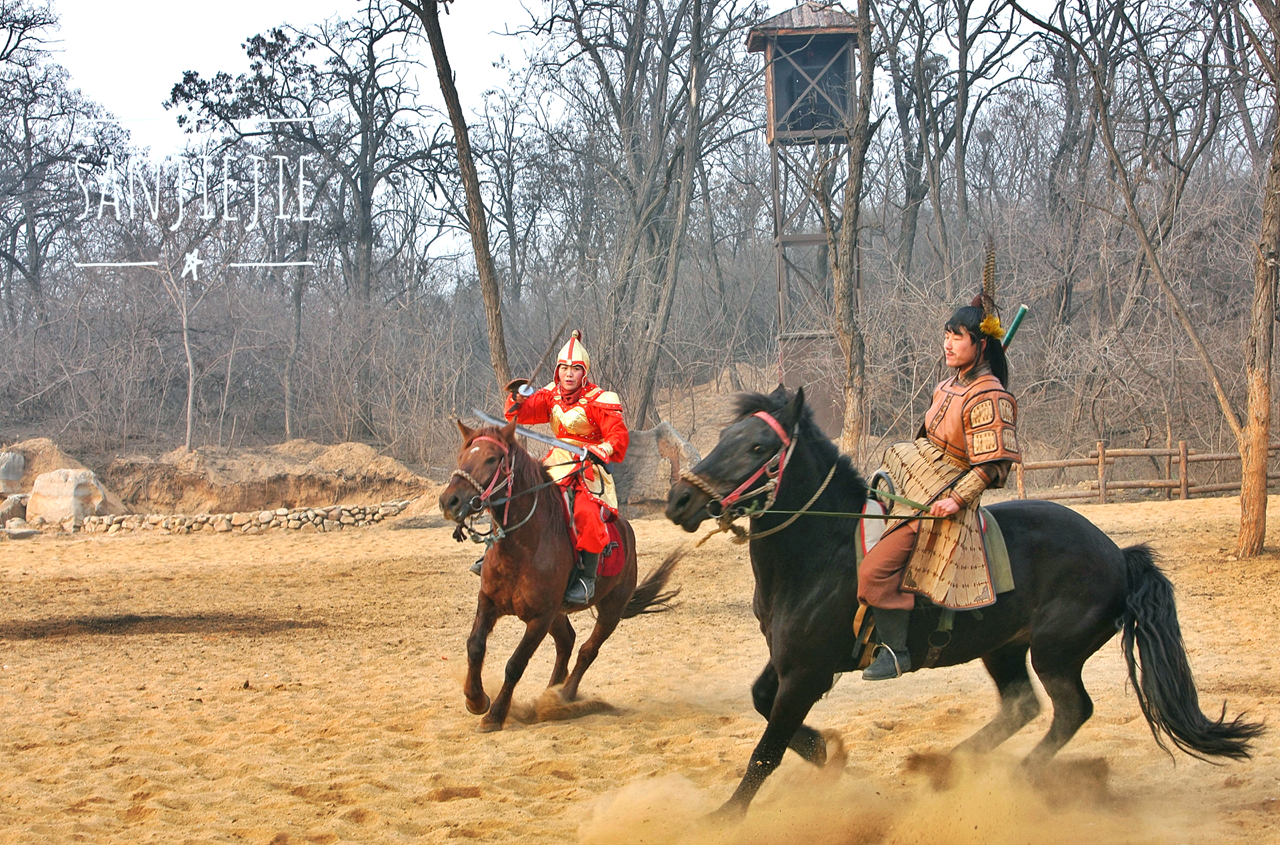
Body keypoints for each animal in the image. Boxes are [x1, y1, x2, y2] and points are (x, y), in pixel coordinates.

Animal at [440, 419, 680, 727]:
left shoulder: (540, 618)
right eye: (462, 456)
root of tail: (626, 530)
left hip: (611, 610)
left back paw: (562, 697)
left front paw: (495, 715)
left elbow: (515, 663)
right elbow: (475, 646)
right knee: (567, 641)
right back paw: (550, 694)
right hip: (559, 612)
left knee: (587, 650)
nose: (450, 501)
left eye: (492, 459)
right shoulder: (489, 601)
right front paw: (476, 699)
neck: (522, 546)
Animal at [665, 386, 1264, 814]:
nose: (679, 500)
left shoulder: (808, 671)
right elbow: (762, 703)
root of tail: (1118, 554)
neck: (823, 549)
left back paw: (1013, 777)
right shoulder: (788, 662)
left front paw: (725, 817)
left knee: (1071, 709)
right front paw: (827, 756)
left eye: (758, 448)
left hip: (1055, 652)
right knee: (1023, 705)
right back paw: (947, 767)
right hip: (1005, 648)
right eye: (724, 435)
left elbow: (765, 750)